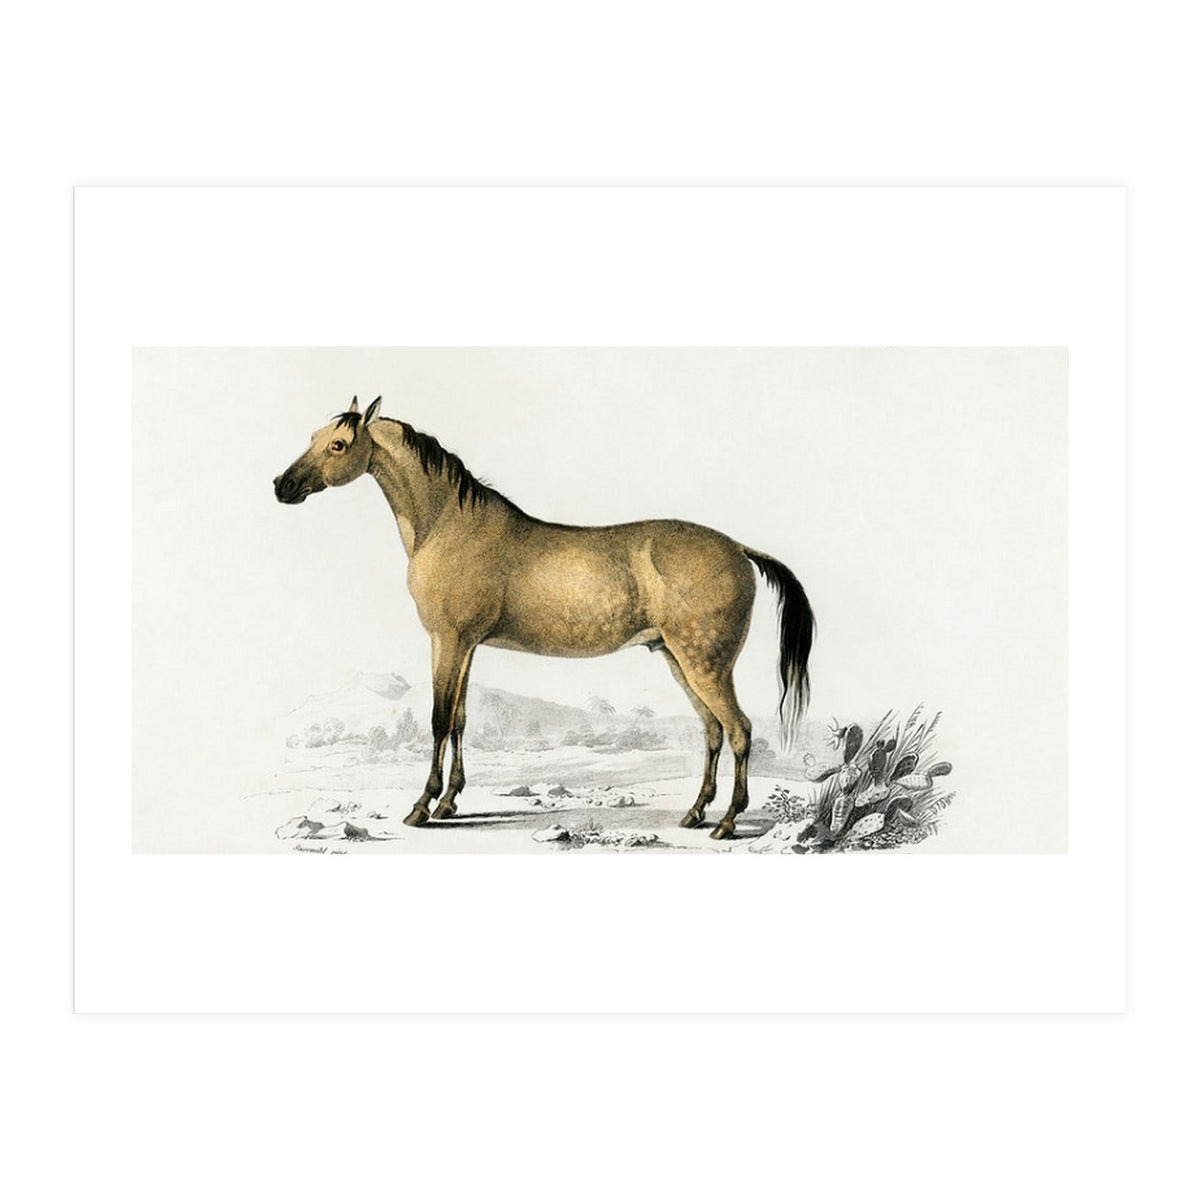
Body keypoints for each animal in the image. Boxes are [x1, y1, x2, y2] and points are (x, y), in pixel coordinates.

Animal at [274, 396, 815, 840]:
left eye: (339, 444)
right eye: (314, 437)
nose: (282, 486)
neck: (449, 524)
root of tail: (738, 548)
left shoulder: (447, 640)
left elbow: (438, 720)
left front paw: (422, 807)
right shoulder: (465, 646)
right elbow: (461, 720)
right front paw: (450, 802)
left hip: (705, 664)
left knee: (739, 729)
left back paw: (727, 822)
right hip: (679, 660)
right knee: (713, 731)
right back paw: (696, 813)